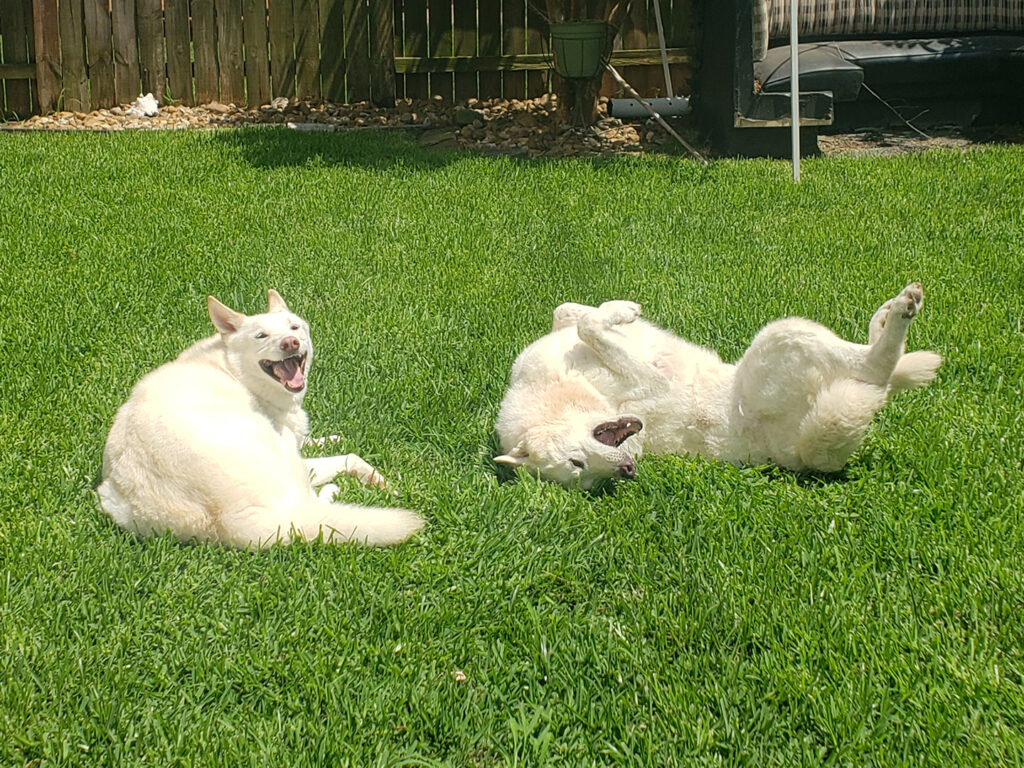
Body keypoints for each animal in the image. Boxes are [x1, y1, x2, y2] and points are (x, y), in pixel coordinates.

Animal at [97, 290, 421, 548]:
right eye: (261, 336)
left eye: (294, 327)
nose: (290, 343)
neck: (233, 370)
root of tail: (228, 518)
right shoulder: (295, 451)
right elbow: (350, 457)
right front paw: (380, 481)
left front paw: (327, 438)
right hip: (289, 471)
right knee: (315, 509)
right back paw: (332, 492)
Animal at [497, 286, 942, 489]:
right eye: (583, 475)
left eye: (577, 463)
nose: (626, 471)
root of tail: (800, 453)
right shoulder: (651, 381)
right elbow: (589, 325)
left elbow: (573, 314)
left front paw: (622, 310)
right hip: (781, 339)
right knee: (876, 371)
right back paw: (899, 315)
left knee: (879, 368)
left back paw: (884, 316)